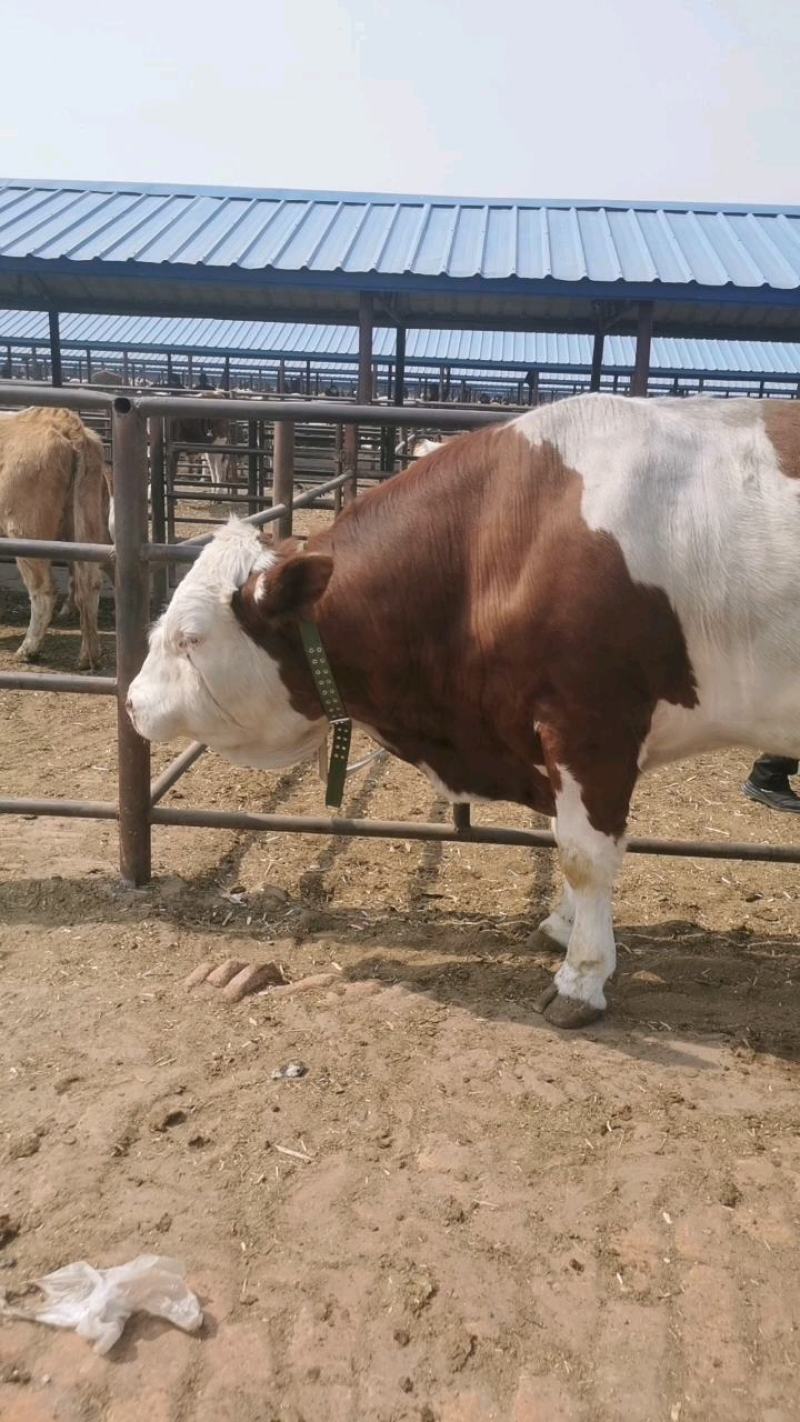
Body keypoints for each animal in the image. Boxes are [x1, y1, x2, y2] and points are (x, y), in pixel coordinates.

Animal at [0, 401, 110, 665]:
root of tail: (67, 425)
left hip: (25, 530)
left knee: (44, 590)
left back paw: (28, 650)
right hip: (86, 523)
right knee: (89, 581)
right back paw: (89, 655)